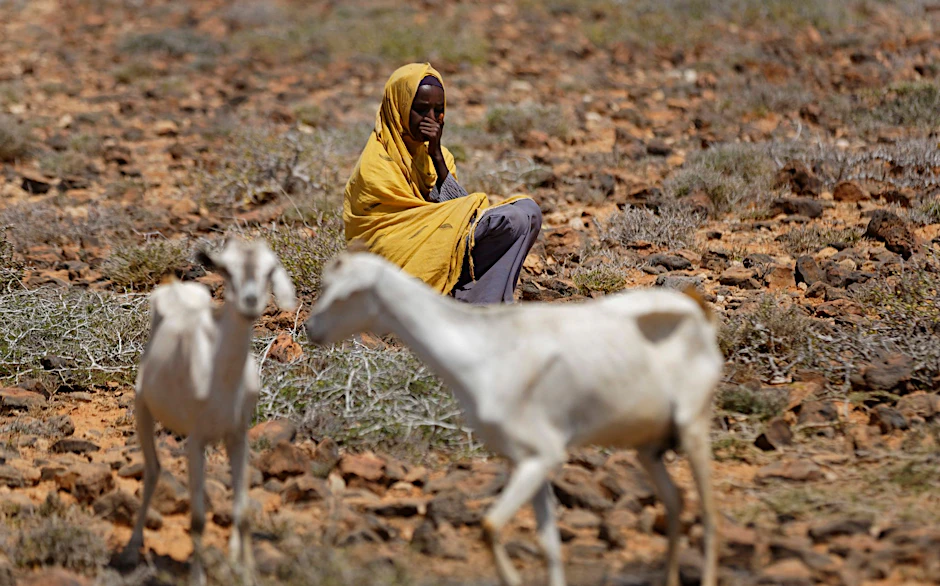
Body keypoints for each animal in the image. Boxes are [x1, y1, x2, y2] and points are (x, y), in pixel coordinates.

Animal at [117, 238, 297, 586]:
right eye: (226, 269)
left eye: (269, 270)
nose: (250, 301)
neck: (221, 378)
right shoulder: (195, 441)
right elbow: (198, 519)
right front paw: (198, 578)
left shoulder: (238, 436)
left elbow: (243, 513)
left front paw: (247, 574)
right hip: (143, 410)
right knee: (153, 470)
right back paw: (131, 550)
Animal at [304, 251, 722, 586]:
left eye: (345, 293)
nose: (311, 328)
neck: (484, 350)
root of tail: (697, 314)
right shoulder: (523, 461)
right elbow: (548, 543)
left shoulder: (542, 457)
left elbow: (489, 527)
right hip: (648, 447)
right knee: (675, 500)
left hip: (694, 427)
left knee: (708, 510)